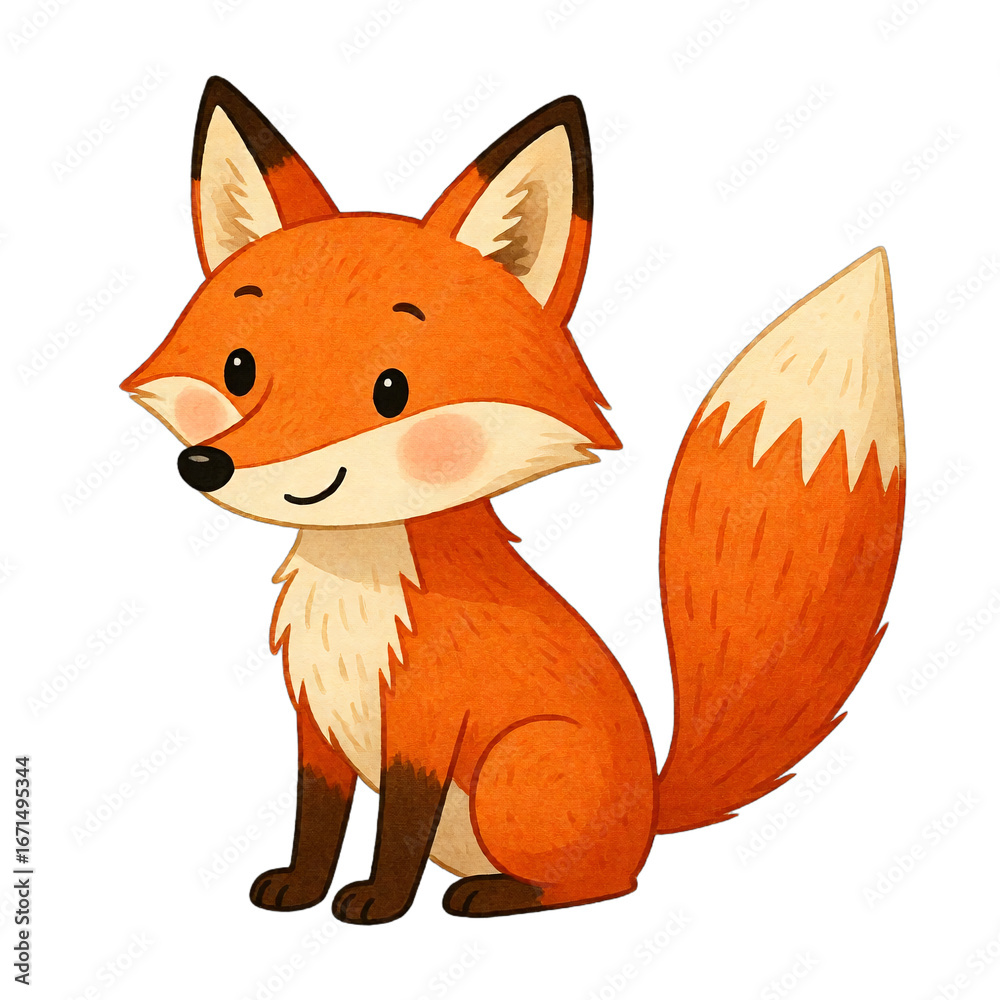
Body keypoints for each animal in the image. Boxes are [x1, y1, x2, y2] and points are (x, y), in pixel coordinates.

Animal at [121, 77, 906, 923]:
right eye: (238, 369)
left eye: (391, 390)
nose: (207, 465)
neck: (358, 588)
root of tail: (651, 808)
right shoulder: (316, 722)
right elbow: (316, 819)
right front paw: (299, 888)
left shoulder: (428, 723)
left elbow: (398, 829)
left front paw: (379, 903)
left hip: (517, 764)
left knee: (599, 885)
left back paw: (495, 895)